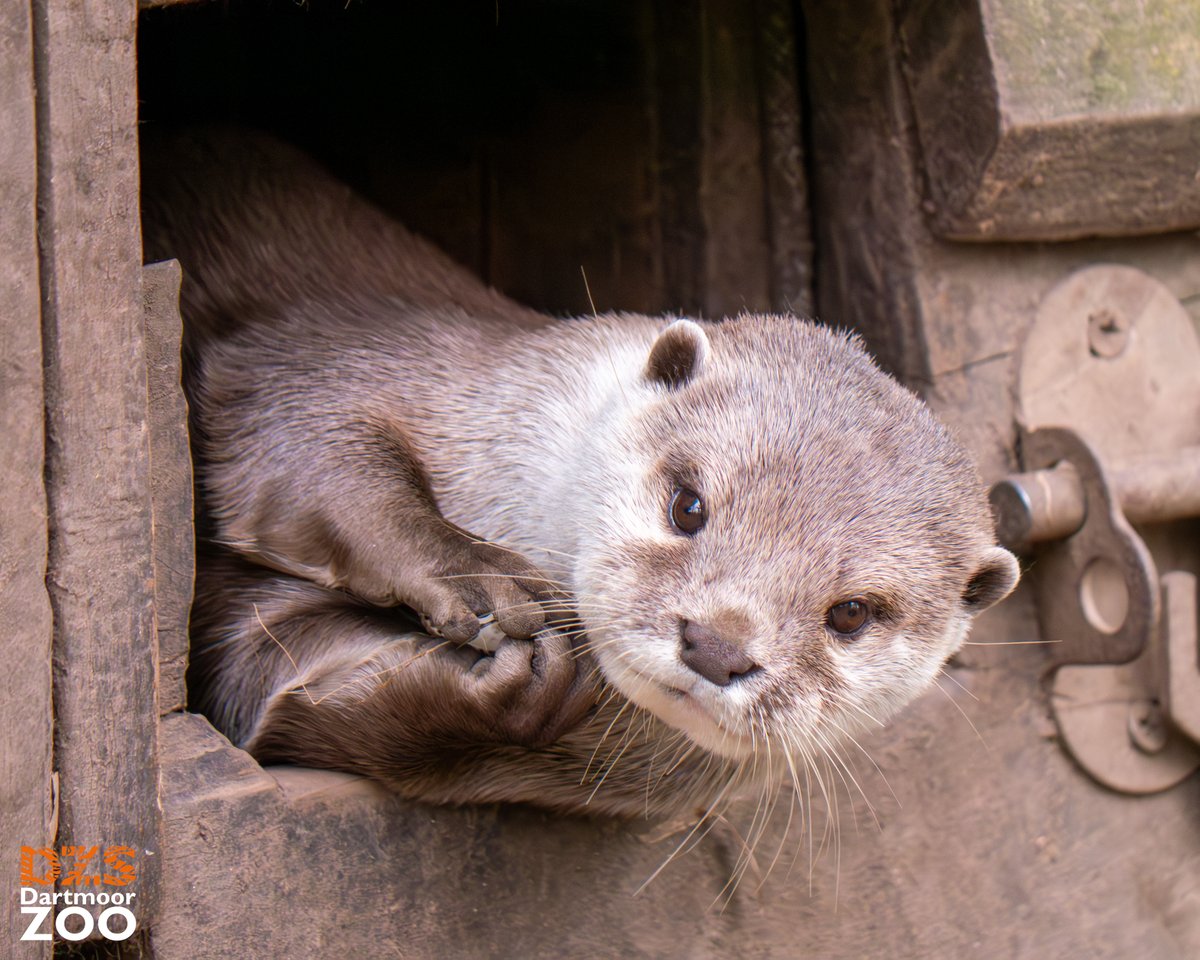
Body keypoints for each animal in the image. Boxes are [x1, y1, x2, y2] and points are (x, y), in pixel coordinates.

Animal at [140, 125, 1022, 816]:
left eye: (852, 613)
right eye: (688, 506)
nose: (717, 644)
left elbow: (276, 688)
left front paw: (499, 700)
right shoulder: (317, 360)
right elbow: (310, 445)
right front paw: (478, 573)